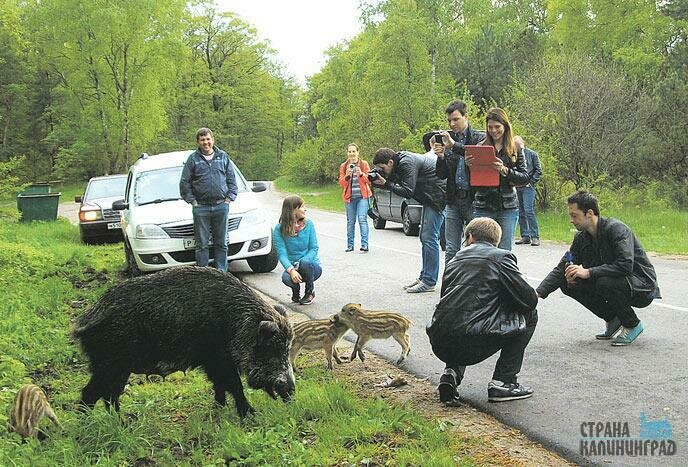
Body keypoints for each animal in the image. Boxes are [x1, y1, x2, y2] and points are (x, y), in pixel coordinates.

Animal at [72, 266, 295, 418]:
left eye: (287, 348)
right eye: (273, 351)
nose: (292, 392)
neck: (239, 324)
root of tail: (83, 322)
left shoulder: (211, 361)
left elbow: (219, 385)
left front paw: (218, 409)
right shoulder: (218, 357)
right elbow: (234, 384)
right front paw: (250, 415)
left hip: (119, 368)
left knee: (110, 395)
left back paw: (121, 422)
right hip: (108, 363)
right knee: (90, 393)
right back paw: (88, 424)